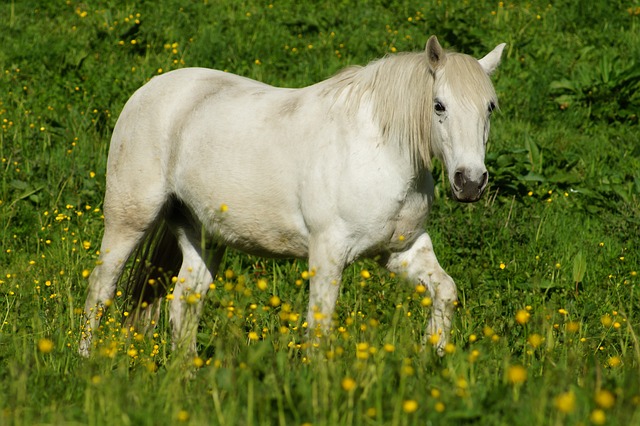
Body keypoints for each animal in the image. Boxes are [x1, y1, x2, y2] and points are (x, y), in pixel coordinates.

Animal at [80, 35, 508, 356]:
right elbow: (320, 327)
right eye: (439, 105)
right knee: (101, 288)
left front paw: (431, 355)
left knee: (185, 300)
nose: (470, 182)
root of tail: (148, 91)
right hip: (129, 219)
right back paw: (87, 360)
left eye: (490, 107)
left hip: (202, 235)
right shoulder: (328, 254)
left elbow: (445, 292)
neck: (379, 153)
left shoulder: (402, 250)